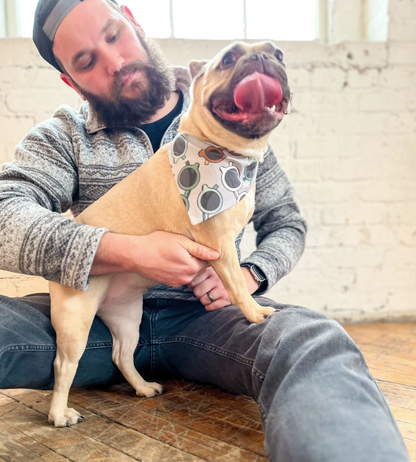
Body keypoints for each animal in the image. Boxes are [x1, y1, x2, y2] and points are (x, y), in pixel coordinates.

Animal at [47, 41, 290, 428]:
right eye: (229, 59)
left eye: (279, 54)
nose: (264, 58)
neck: (226, 155)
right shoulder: (220, 246)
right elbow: (238, 285)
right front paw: (255, 313)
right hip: (75, 320)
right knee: (64, 365)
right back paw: (59, 413)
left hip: (126, 316)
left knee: (121, 354)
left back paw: (144, 387)